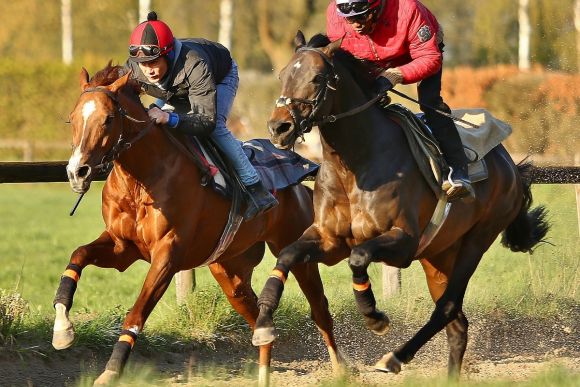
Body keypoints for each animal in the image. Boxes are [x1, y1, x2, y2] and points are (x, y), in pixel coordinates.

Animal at [52, 63, 342, 384]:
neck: (141, 181)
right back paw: (264, 368)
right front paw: (62, 329)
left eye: (108, 119)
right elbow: (78, 255)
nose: (77, 172)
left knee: (320, 310)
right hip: (229, 270)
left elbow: (137, 313)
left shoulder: (168, 255)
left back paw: (342, 370)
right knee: (259, 320)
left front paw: (111, 370)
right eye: (72, 118)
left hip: (294, 250)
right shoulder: (122, 246)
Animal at [253, 33, 548, 378]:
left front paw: (373, 315)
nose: (279, 128)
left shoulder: (403, 242)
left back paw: (394, 357)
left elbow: (359, 256)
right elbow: (287, 255)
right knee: (457, 324)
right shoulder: (329, 240)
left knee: (447, 308)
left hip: (477, 239)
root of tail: (509, 163)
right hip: (439, 253)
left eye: (316, 78)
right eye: (283, 75)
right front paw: (264, 322)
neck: (355, 165)